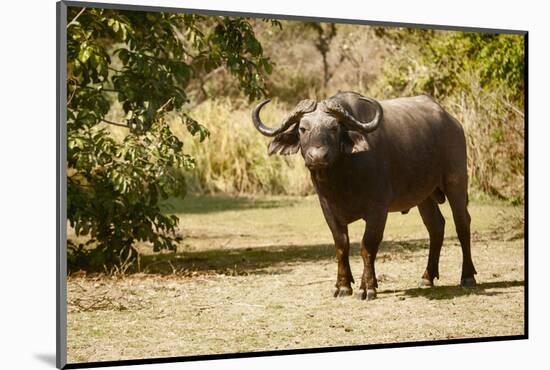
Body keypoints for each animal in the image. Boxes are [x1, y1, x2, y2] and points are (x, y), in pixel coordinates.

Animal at [252, 90, 476, 300]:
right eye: (302, 128)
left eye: (334, 127)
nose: (317, 156)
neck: (342, 178)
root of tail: (452, 122)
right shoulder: (328, 208)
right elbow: (341, 245)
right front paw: (343, 286)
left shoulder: (378, 209)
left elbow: (367, 245)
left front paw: (367, 287)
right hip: (425, 196)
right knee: (436, 226)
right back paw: (427, 277)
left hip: (456, 181)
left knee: (462, 223)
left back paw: (467, 276)